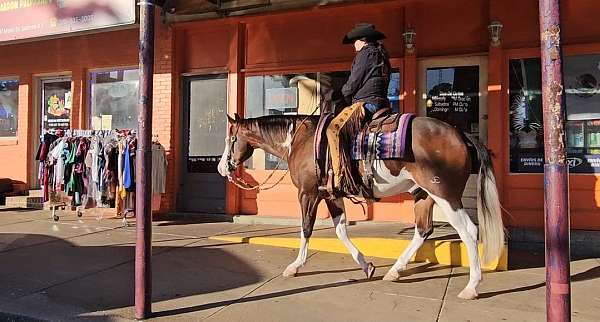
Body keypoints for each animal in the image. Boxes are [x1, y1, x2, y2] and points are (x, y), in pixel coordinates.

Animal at [218, 113, 504, 300]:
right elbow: (340, 230)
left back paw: (471, 287)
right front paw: (367, 266)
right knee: (423, 230)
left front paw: (295, 266)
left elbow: (306, 228)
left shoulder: (307, 193)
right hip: (423, 195)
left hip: (444, 194)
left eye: (230, 138)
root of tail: (460, 133)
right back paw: (395, 271)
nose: (222, 167)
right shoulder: (331, 195)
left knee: (468, 231)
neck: (301, 141)